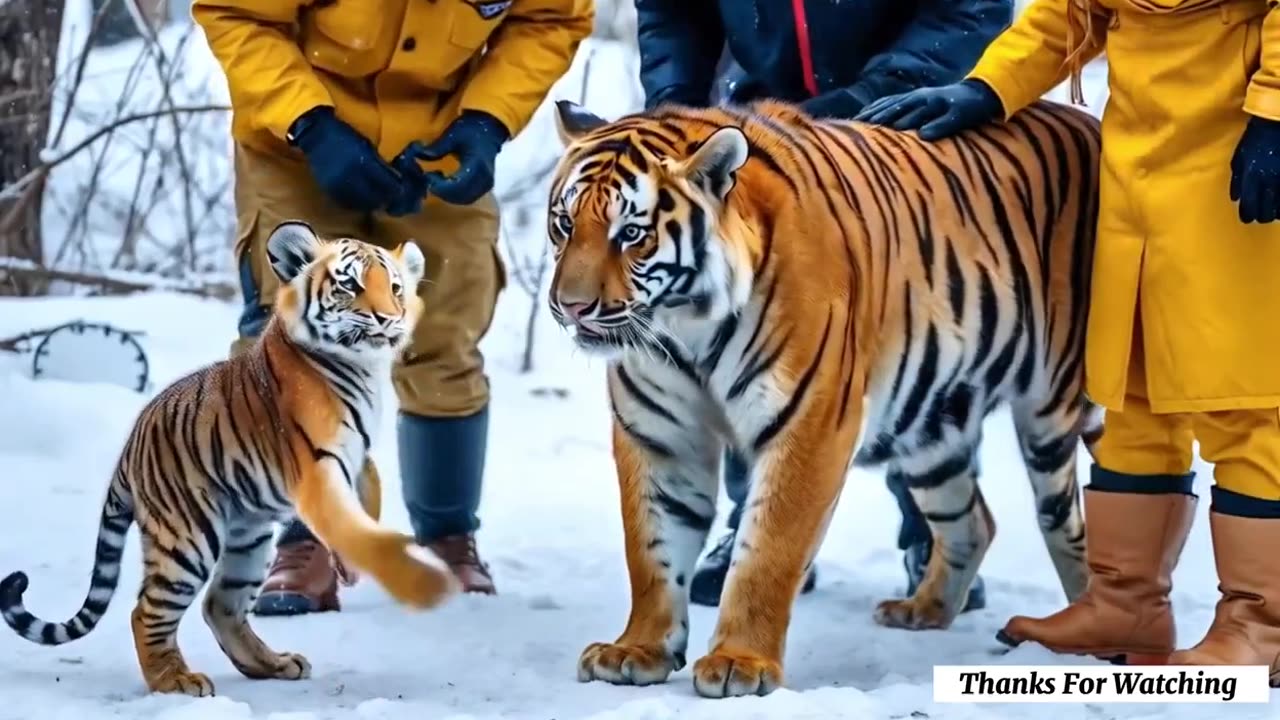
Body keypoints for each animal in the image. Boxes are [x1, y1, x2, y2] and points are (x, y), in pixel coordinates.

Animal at [0, 221, 458, 691]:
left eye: (396, 287)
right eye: (350, 284)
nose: (389, 318)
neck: (362, 369)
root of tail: (130, 447)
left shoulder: (357, 457)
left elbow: (370, 498)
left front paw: (351, 564)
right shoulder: (318, 470)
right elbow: (353, 525)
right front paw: (423, 583)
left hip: (248, 537)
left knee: (220, 605)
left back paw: (274, 664)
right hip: (186, 539)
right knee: (145, 611)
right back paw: (175, 680)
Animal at [547, 96, 1100, 696]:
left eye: (631, 233)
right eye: (565, 224)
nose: (569, 307)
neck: (686, 326)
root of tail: (1091, 124)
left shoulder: (810, 421)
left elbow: (769, 549)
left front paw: (741, 663)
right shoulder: (658, 433)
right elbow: (652, 547)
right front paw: (637, 649)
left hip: (1051, 409)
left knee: (1069, 522)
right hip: (933, 424)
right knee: (973, 520)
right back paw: (923, 610)